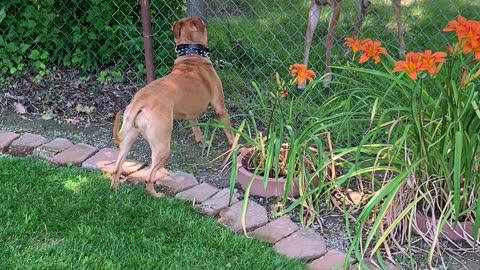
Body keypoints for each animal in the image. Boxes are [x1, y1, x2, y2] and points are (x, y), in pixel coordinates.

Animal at [110, 17, 234, 198]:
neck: (192, 56)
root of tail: (140, 100)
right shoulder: (220, 107)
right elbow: (230, 132)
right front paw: (237, 144)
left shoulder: (191, 113)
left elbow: (196, 128)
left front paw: (201, 142)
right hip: (162, 147)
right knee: (148, 178)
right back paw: (157, 195)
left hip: (128, 139)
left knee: (117, 169)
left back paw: (115, 190)